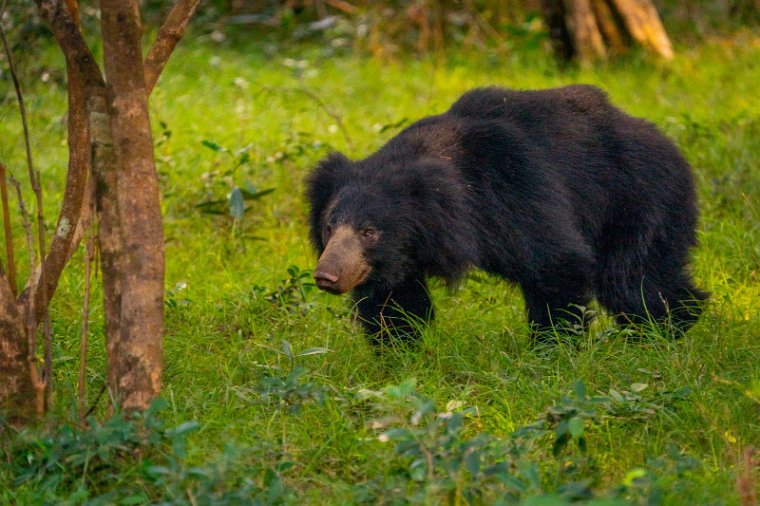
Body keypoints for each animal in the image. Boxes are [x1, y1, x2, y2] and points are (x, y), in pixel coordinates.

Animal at [304, 85, 708, 344]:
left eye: (369, 231)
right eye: (329, 228)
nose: (326, 275)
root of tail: (665, 140)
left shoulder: (514, 191)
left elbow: (555, 261)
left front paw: (552, 347)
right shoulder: (399, 258)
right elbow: (394, 300)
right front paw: (399, 349)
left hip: (638, 199)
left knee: (633, 280)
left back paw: (665, 329)